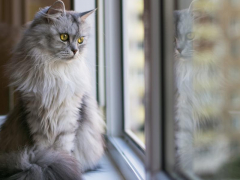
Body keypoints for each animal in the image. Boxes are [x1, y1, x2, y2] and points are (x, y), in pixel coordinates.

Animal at [0, 0, 104, 179]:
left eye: (81, 40)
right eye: (64, 37)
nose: (75, 51)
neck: (54, 73)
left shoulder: (68, 118)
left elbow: (63, 148)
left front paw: (61, 164)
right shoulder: (35, 116)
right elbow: (44, 148)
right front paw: (52, 163)